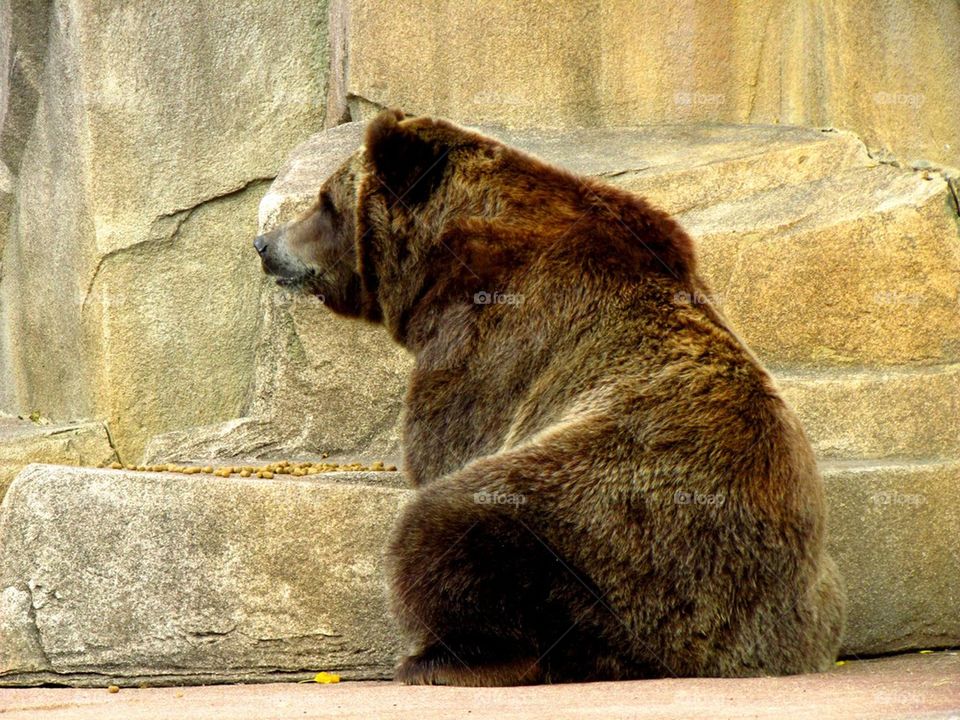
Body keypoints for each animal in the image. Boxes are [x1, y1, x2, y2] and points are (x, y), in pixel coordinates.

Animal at [253, 109, 846, 686]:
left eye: (324, 202)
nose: (264, 245)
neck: (439, 260)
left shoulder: (491, 344)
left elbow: (445, 445)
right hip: (811, 589)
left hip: (607, 528)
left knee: (448, 527)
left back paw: (442, 659)